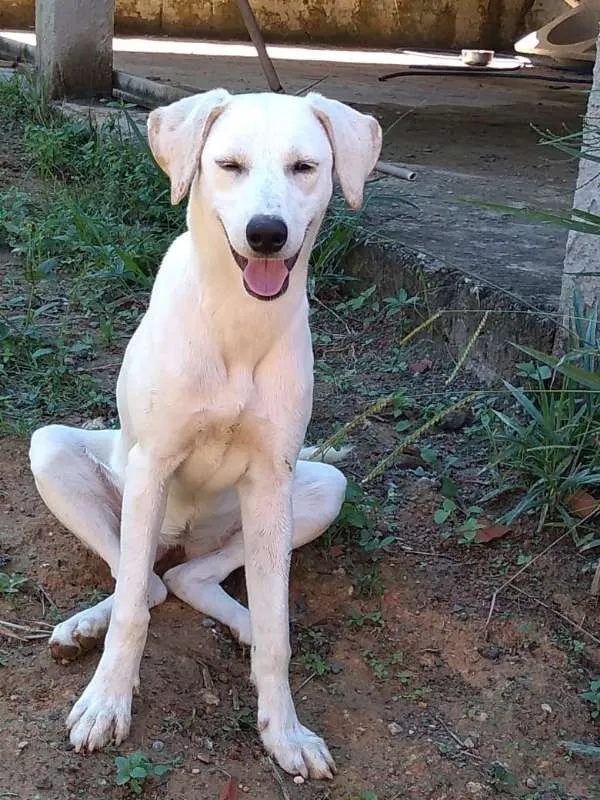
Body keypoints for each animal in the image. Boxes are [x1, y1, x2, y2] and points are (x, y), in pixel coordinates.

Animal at [29, 89, 380, 780]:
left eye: (305, 167)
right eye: (229, 165)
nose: (266, 233)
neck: (239, 321)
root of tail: (178, 535)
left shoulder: (273, 481)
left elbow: (278, 634)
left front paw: (285, 732)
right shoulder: (153, 464)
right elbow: (131, 611)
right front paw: (106, 704)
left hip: (320, 489)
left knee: (188, 579)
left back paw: (237, 622)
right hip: (61, 454)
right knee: (142, 582)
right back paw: (85, 629)